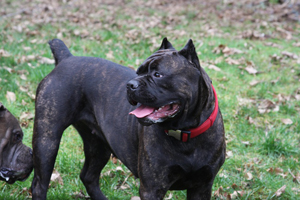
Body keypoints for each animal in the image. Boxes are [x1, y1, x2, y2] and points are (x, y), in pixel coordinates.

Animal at [31, 38, 226, 199]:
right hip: (47, 141)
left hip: (98, 146)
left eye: (158, 75)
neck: (185, 133)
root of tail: (66, 59)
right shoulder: (152, 189)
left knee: (88, 176)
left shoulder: (202, 186)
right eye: (138, 72)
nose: (130, 84)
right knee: (40, 185)